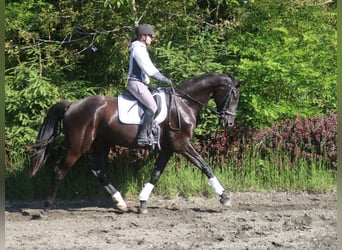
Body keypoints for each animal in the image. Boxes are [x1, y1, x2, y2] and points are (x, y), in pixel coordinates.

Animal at [30, 72, 243, 213]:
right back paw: (47, 208)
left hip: (101, 144)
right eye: (234, 95)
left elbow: (156, 174)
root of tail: (72, 105)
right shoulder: (182, 145)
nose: (229, 122)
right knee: (59, 171)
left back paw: (121, 203)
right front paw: (224, 198)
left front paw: (142, 203)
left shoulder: (168, 148)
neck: (184, 103)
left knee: (98, 170)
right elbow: (205, 166)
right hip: (76, 147)